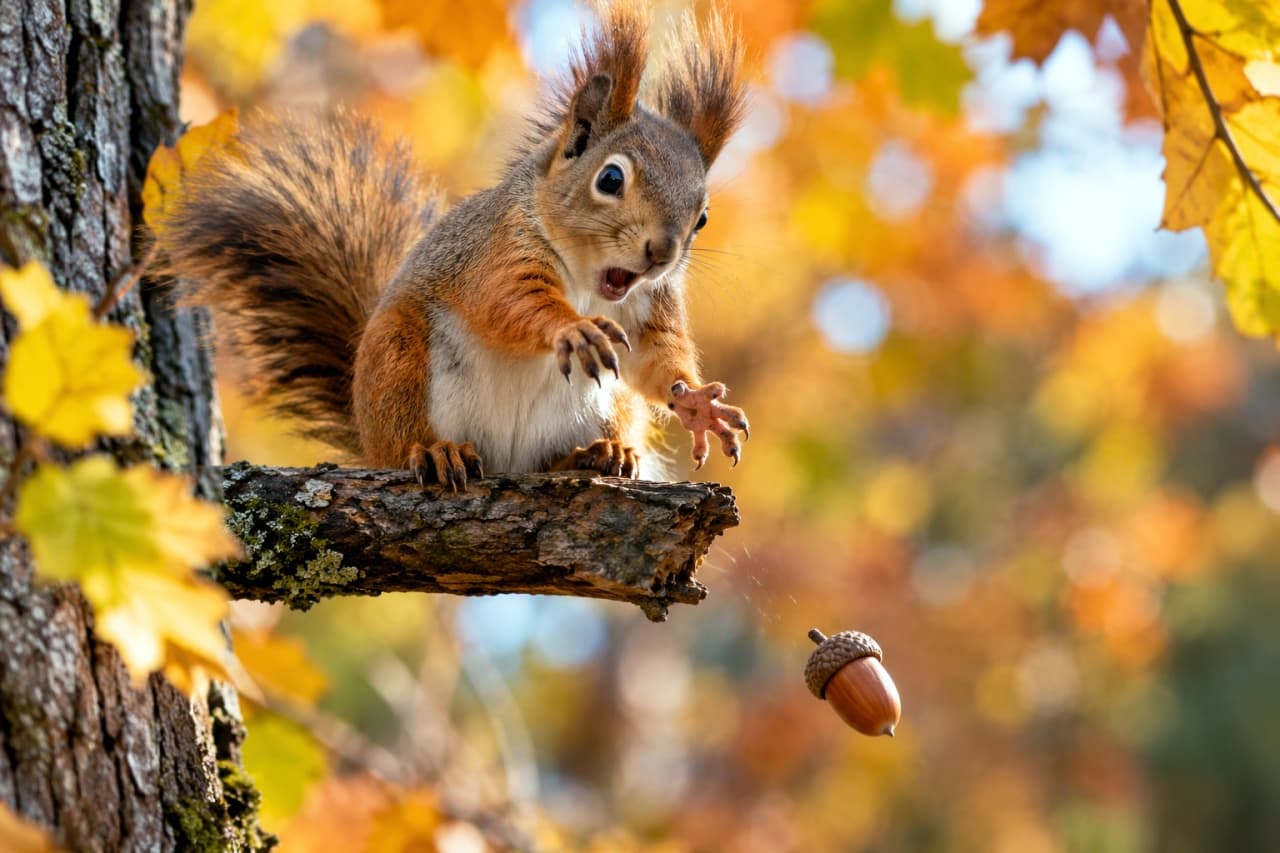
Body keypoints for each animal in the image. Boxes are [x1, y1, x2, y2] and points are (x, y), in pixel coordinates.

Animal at [158, 1, 750, 490]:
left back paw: (598, 454)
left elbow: (657, 359)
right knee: (407, 440)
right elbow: (508, 303)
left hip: (607, 406)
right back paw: (435, 452)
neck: (588, 281)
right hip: (399, 362)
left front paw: (699, 406)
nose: (661, 253)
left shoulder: (651, 304)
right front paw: (573, 329)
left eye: (702, 217)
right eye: (609, 179)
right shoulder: (496, 252)